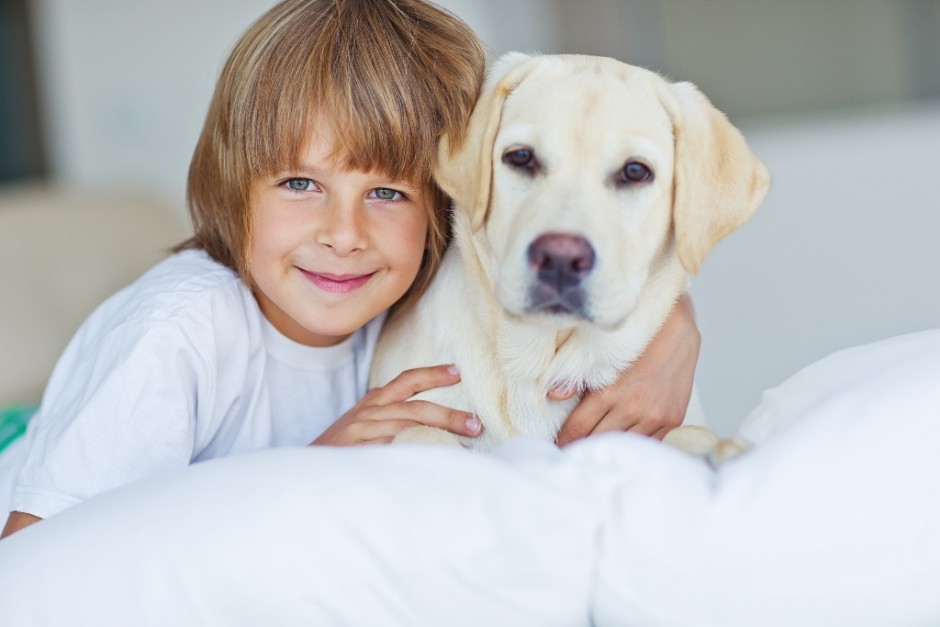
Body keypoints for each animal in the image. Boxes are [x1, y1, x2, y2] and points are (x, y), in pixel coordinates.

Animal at [368, 52, 772, 462]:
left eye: (635, 171)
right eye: (520, 157)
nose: (560, 258)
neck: (536, 372)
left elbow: (688, 433)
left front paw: (720, 447)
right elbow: (422, 434)